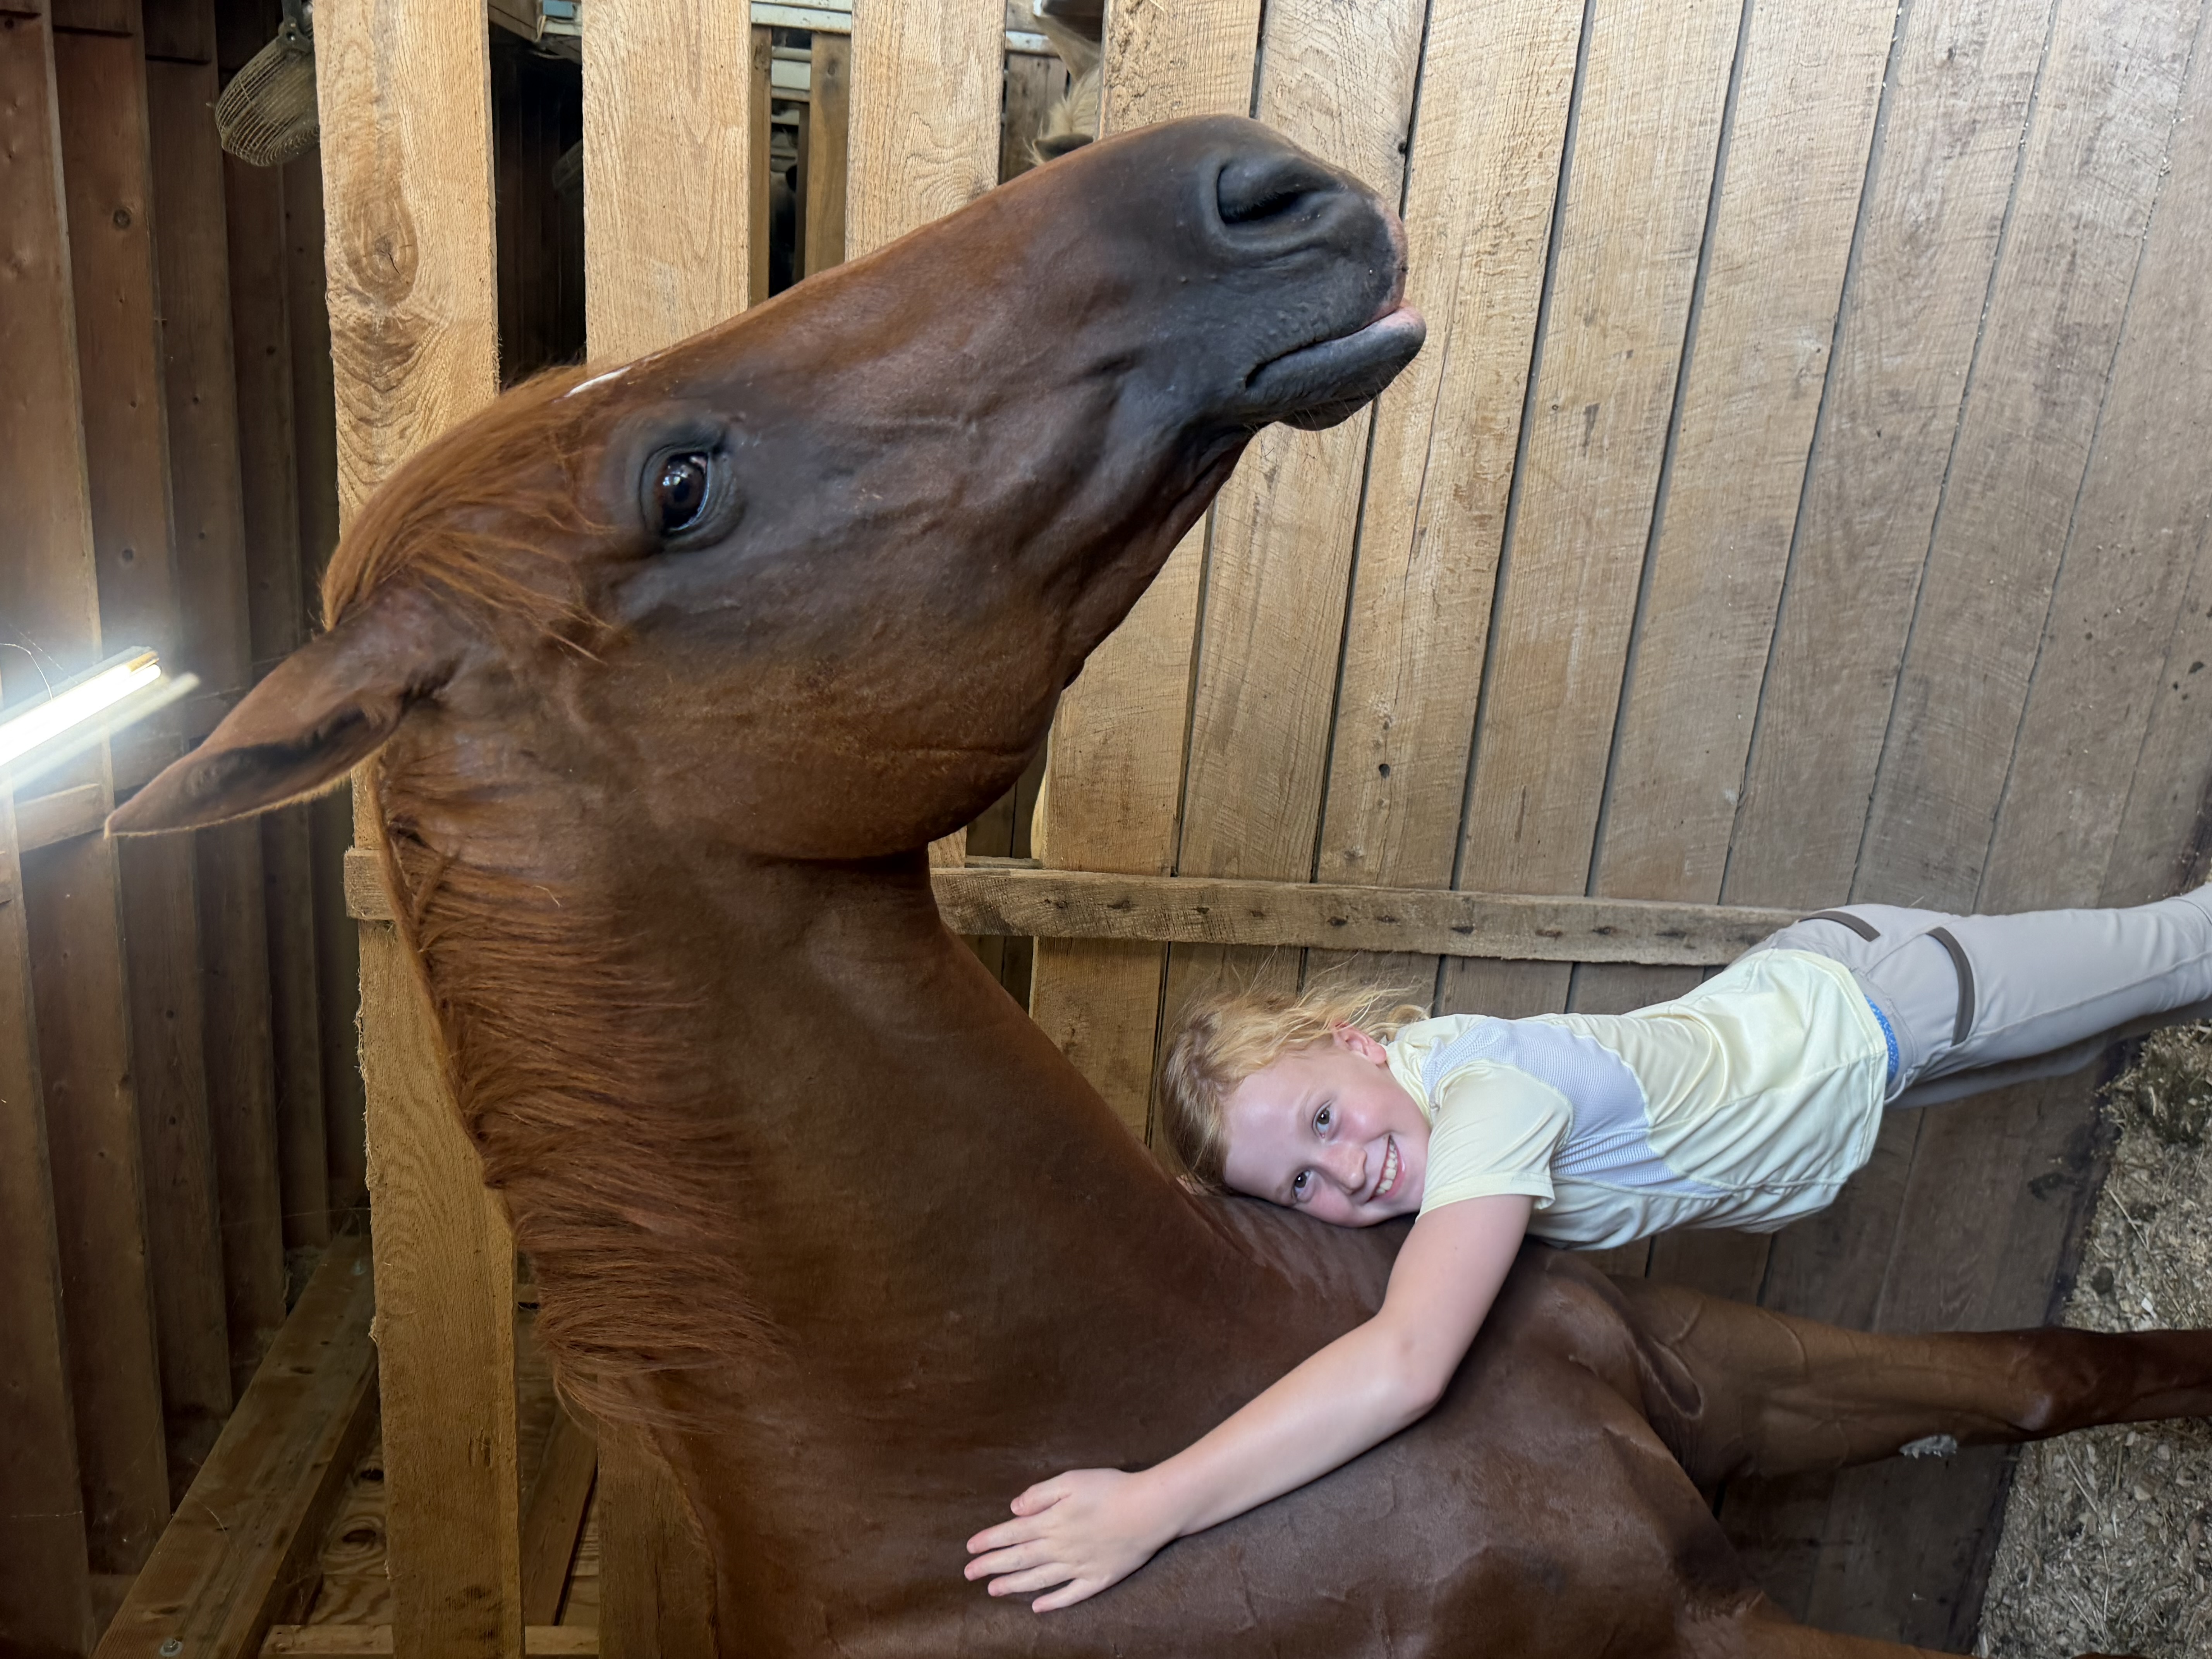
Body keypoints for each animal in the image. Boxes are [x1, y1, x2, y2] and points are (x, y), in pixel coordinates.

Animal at [113, 115, 2208, 1659]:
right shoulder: (1692, 1621)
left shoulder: (1721, 1369)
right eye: (678, 485)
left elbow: (2046, 1366)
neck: (1139, 1392)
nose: (1255, 173)